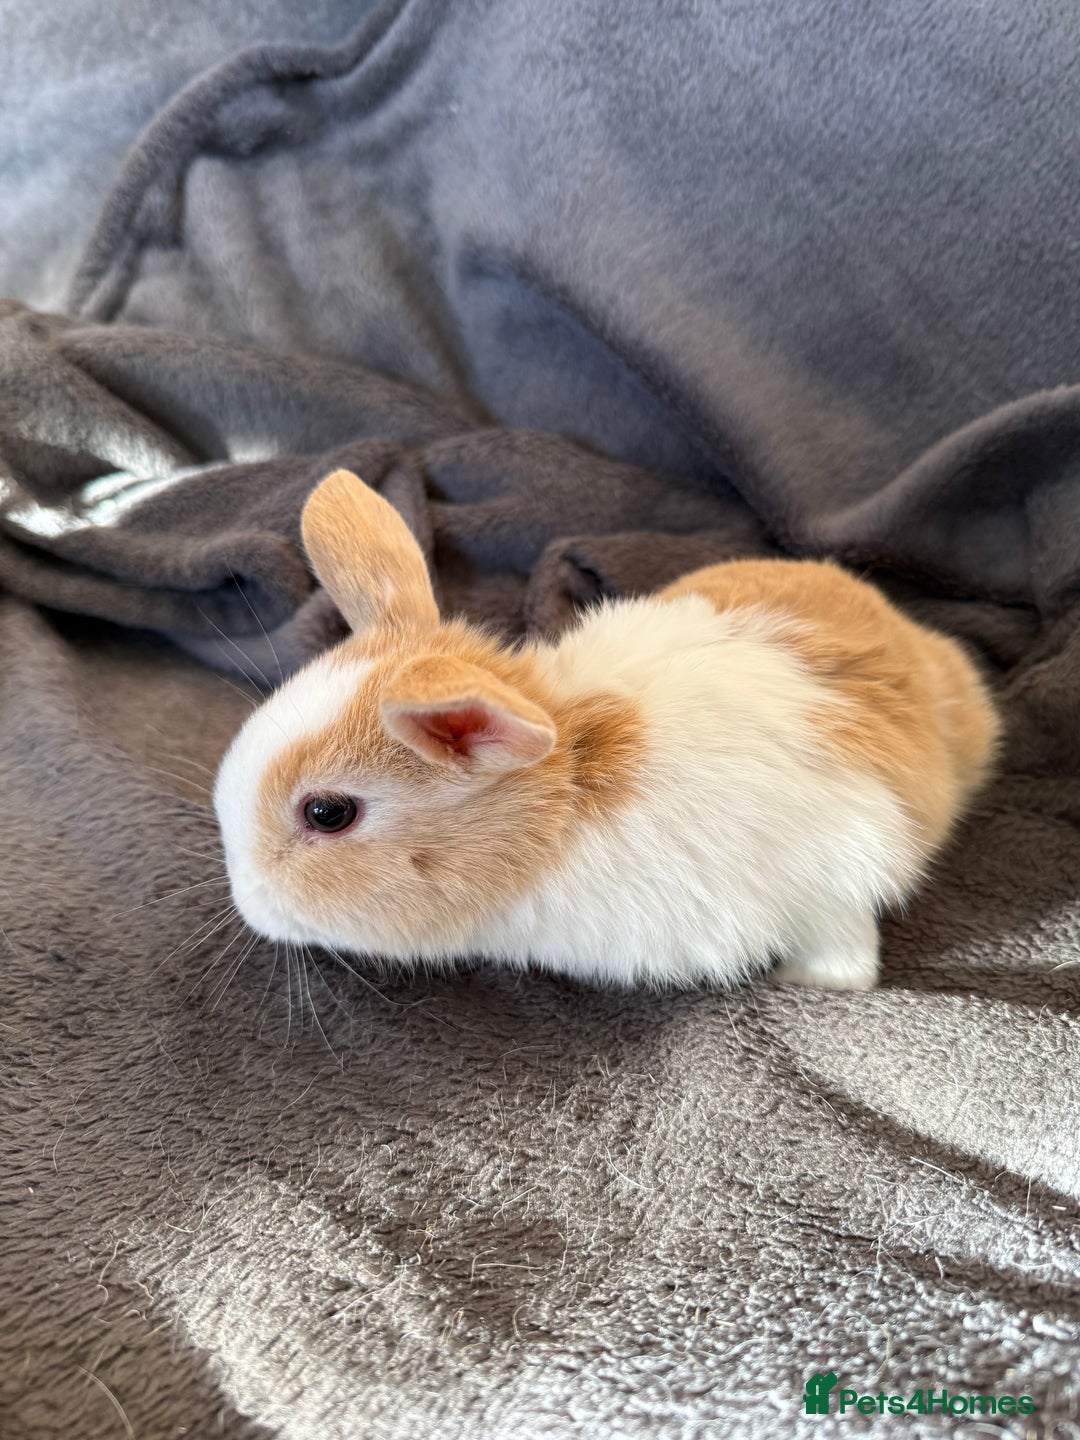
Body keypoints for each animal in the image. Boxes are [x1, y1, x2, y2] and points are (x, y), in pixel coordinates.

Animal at [214, 468, 1001, 992]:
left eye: (328, 813)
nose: (246, 902)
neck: (563, 797)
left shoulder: (833, 877)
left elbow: (847, 948)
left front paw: (813, 986)